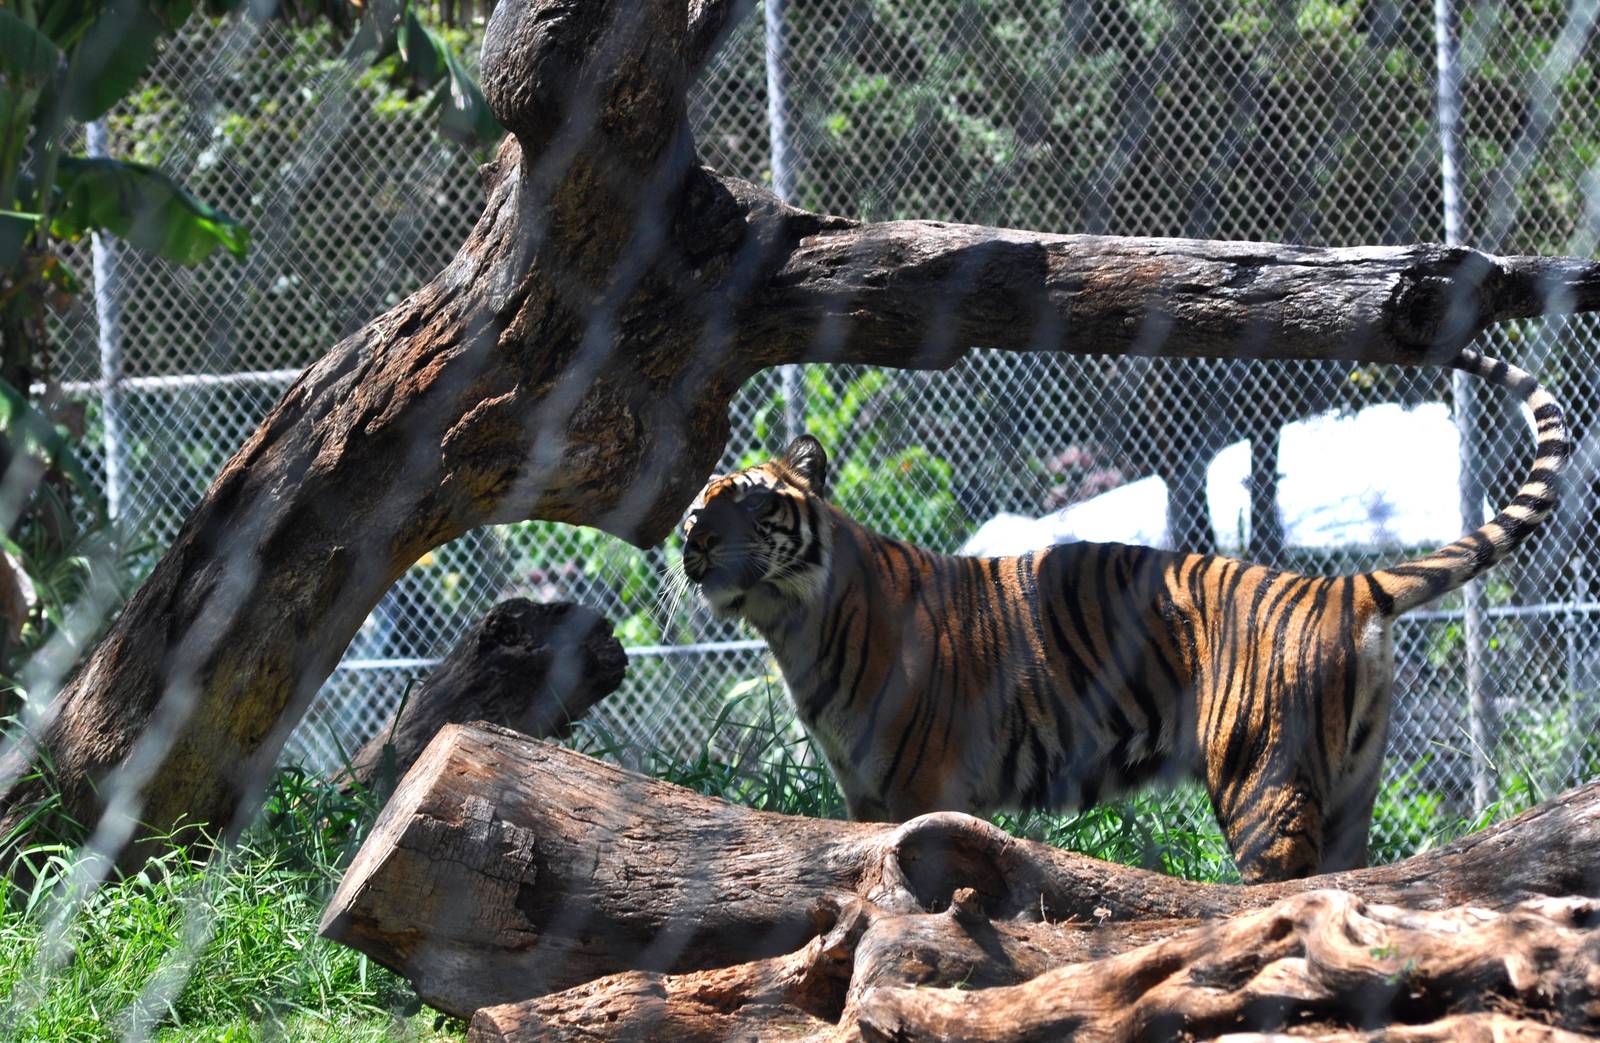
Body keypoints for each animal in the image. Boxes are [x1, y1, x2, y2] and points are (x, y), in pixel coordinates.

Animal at [679, 347, 1568, 882]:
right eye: (694, 513)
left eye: (753, 502)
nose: (696, 543)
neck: (791, 623)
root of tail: (1338, 588)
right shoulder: (863, 795)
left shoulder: (922, 786)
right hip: (1351, 780)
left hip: (1263, 781)